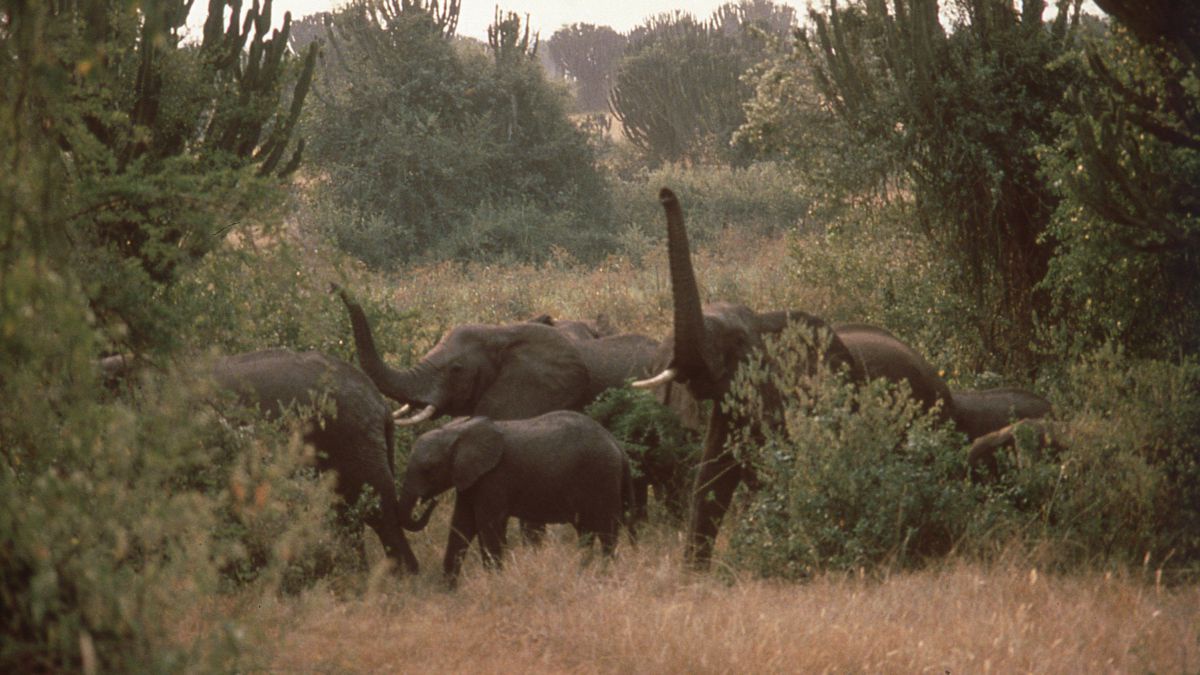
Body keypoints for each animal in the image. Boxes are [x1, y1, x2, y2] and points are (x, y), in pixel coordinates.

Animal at [396, 408, 638, 581]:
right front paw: (448, 589)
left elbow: (488, 526)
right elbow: (461, 525)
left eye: (428, 469)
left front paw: (495, 582)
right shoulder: (470, 478)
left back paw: (604, 575)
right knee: (586, 531)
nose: (429, 501)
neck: (457, 432)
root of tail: (617, 446)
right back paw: (582, 572)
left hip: (602, 477)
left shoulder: (493, 478)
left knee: (606, 531)